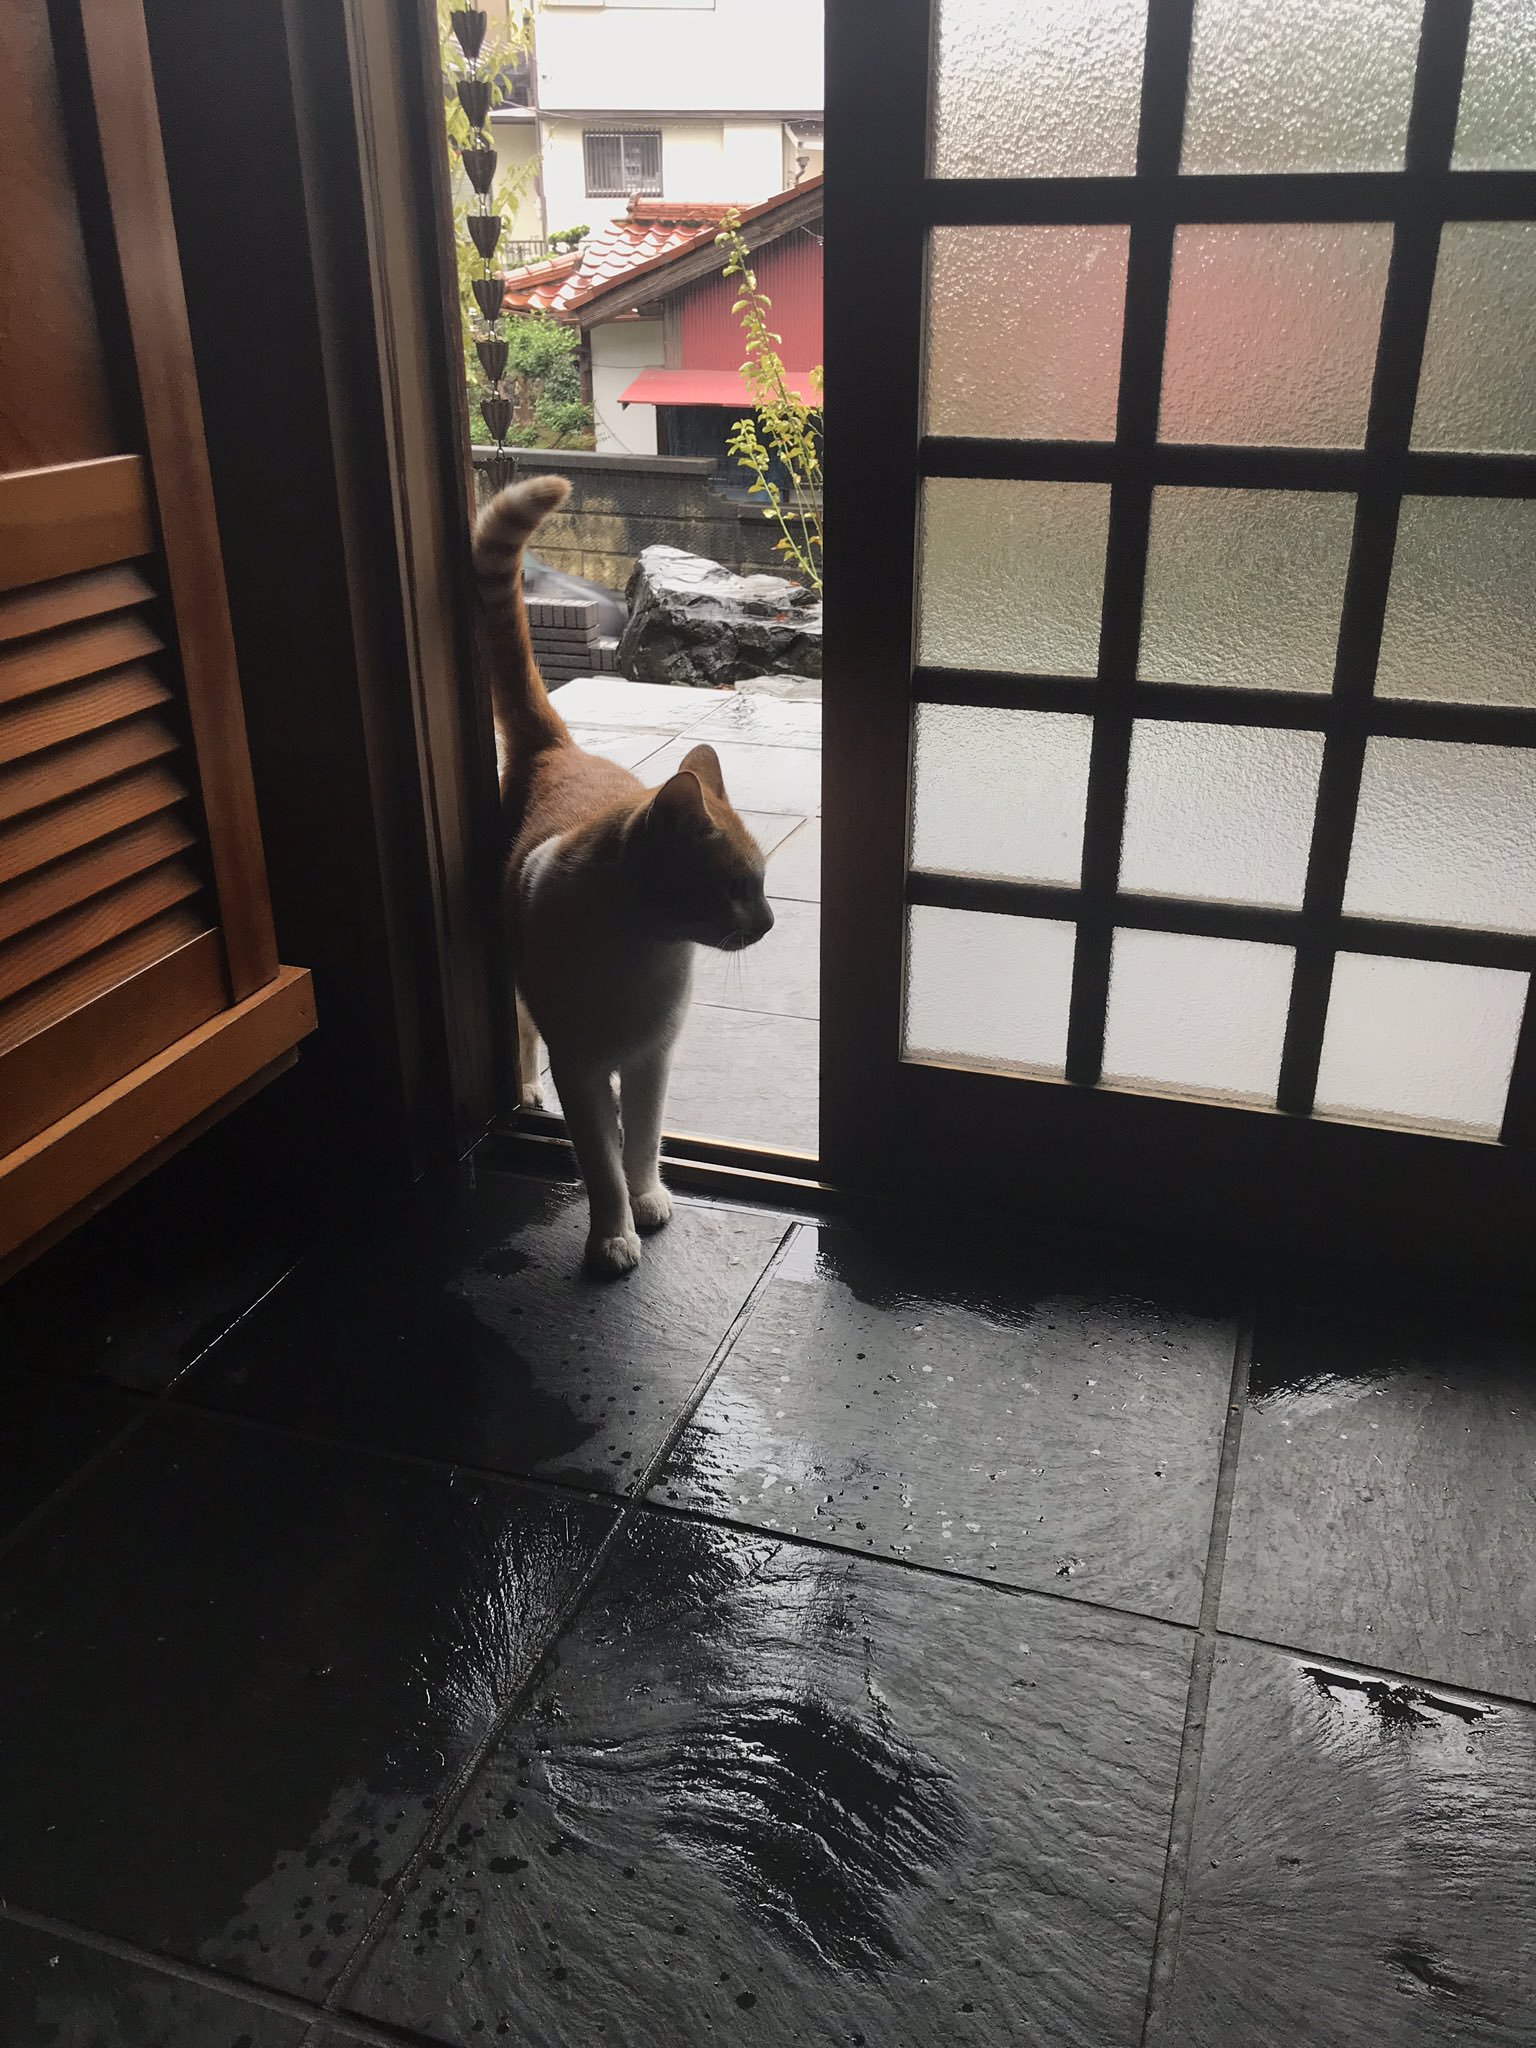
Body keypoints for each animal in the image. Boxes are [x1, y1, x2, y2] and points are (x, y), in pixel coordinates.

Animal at [475, 481, 774, 1277]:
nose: (769, 924)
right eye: (739, 885)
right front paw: (613, 1236)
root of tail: (558, 750)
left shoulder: (650, 1062)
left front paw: (647, 1202)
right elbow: (600, 1161)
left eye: (763, 882)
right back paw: (525, 1091)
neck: (643, 951)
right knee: (520, 1037)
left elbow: (640, 1142)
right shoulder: (580, 1067)